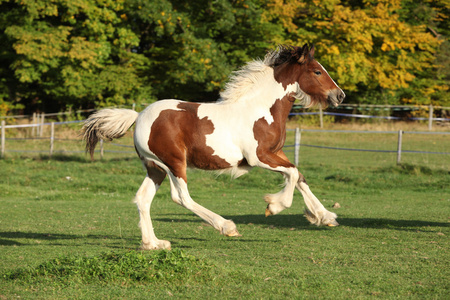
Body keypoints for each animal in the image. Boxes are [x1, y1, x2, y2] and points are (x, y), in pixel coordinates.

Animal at [83, 44, 344, 250]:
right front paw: (274, 206)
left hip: (155, 167)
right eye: (317, 71)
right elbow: (292, 174)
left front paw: (325, 217)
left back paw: (153, 244)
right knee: (181, 197)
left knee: (143, 199)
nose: (340, 95)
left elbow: (299, 175)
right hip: (174, 162)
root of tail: (138, 116)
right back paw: (227, 226)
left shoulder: (276, 153)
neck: (261, 110)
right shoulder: (259, 157)